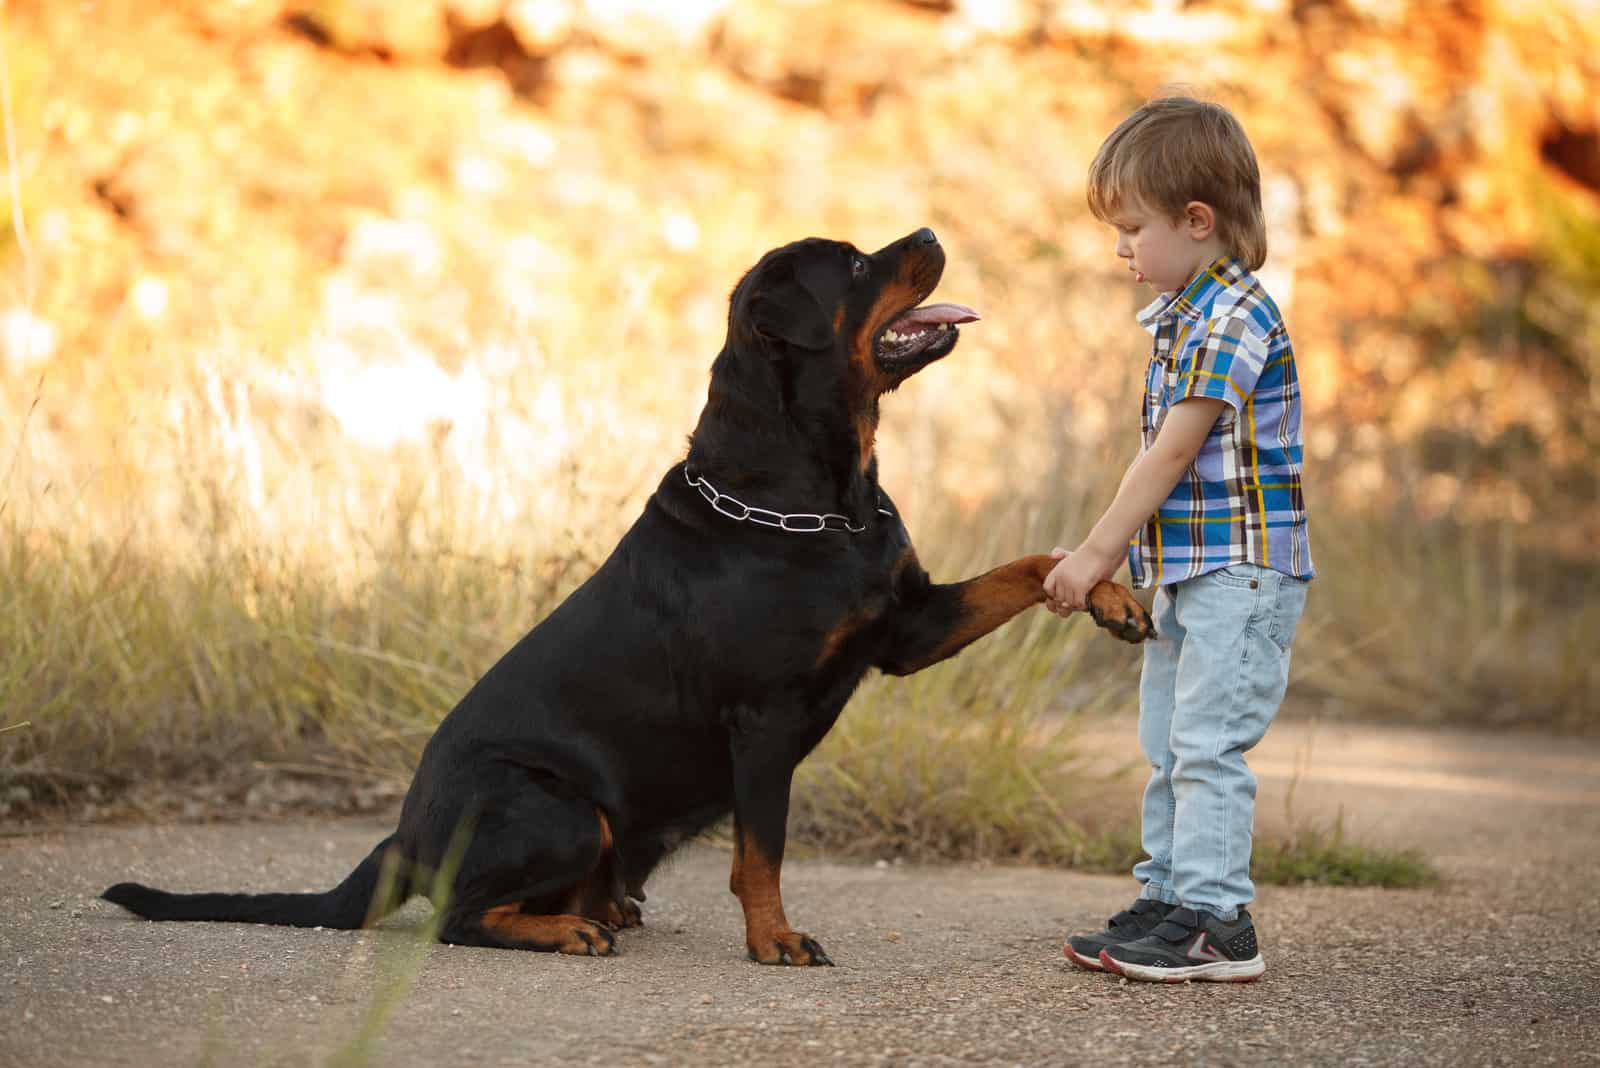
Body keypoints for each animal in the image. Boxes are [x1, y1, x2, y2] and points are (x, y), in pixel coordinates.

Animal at [103, 230, 1152, 965]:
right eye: (857, 265)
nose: (930, 229)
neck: (823, 500)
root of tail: (404, 832)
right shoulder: (764, 718)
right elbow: (762, 851)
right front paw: (774, 940)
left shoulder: (907, 627)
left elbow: (1031, 564)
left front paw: (1109, 596)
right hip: (560, 810)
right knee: (459, 915)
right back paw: (568, 931)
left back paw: (602, 910)